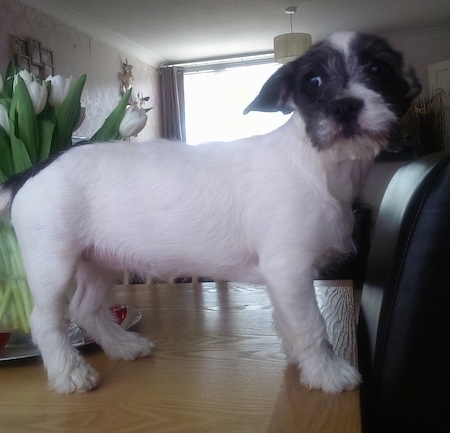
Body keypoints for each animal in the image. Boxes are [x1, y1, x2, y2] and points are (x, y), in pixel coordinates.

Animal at [0, 32, 422, 394]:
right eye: (314, 81)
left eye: (379, 70)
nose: (345, 105)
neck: (318, 166)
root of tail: (33, 170)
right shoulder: (290, 269)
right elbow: (311, 325)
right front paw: (326, 371)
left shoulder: (284, 279)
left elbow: (289, 320)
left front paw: (300, 359)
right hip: (53, 265)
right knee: (46, 320)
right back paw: (69, 373)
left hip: (99, 262)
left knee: (85, 308)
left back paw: (120, 345)